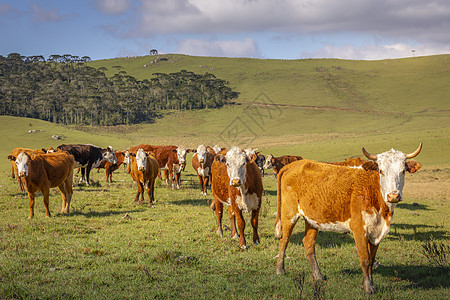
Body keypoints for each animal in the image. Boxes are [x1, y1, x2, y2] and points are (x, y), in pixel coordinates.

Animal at [272, 143, 424, 292]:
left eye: (403, 171)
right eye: (381, 171)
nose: (393, 196)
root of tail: (293, 165)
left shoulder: (376, 231)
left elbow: (371, 259)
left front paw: (370, 284)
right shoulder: (359, 229)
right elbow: (365, 259)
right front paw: (368, 288)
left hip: (312, 219)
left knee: (308, 243)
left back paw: (318, 275)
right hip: (289, 213)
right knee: (284, 241)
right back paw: (280, 270)